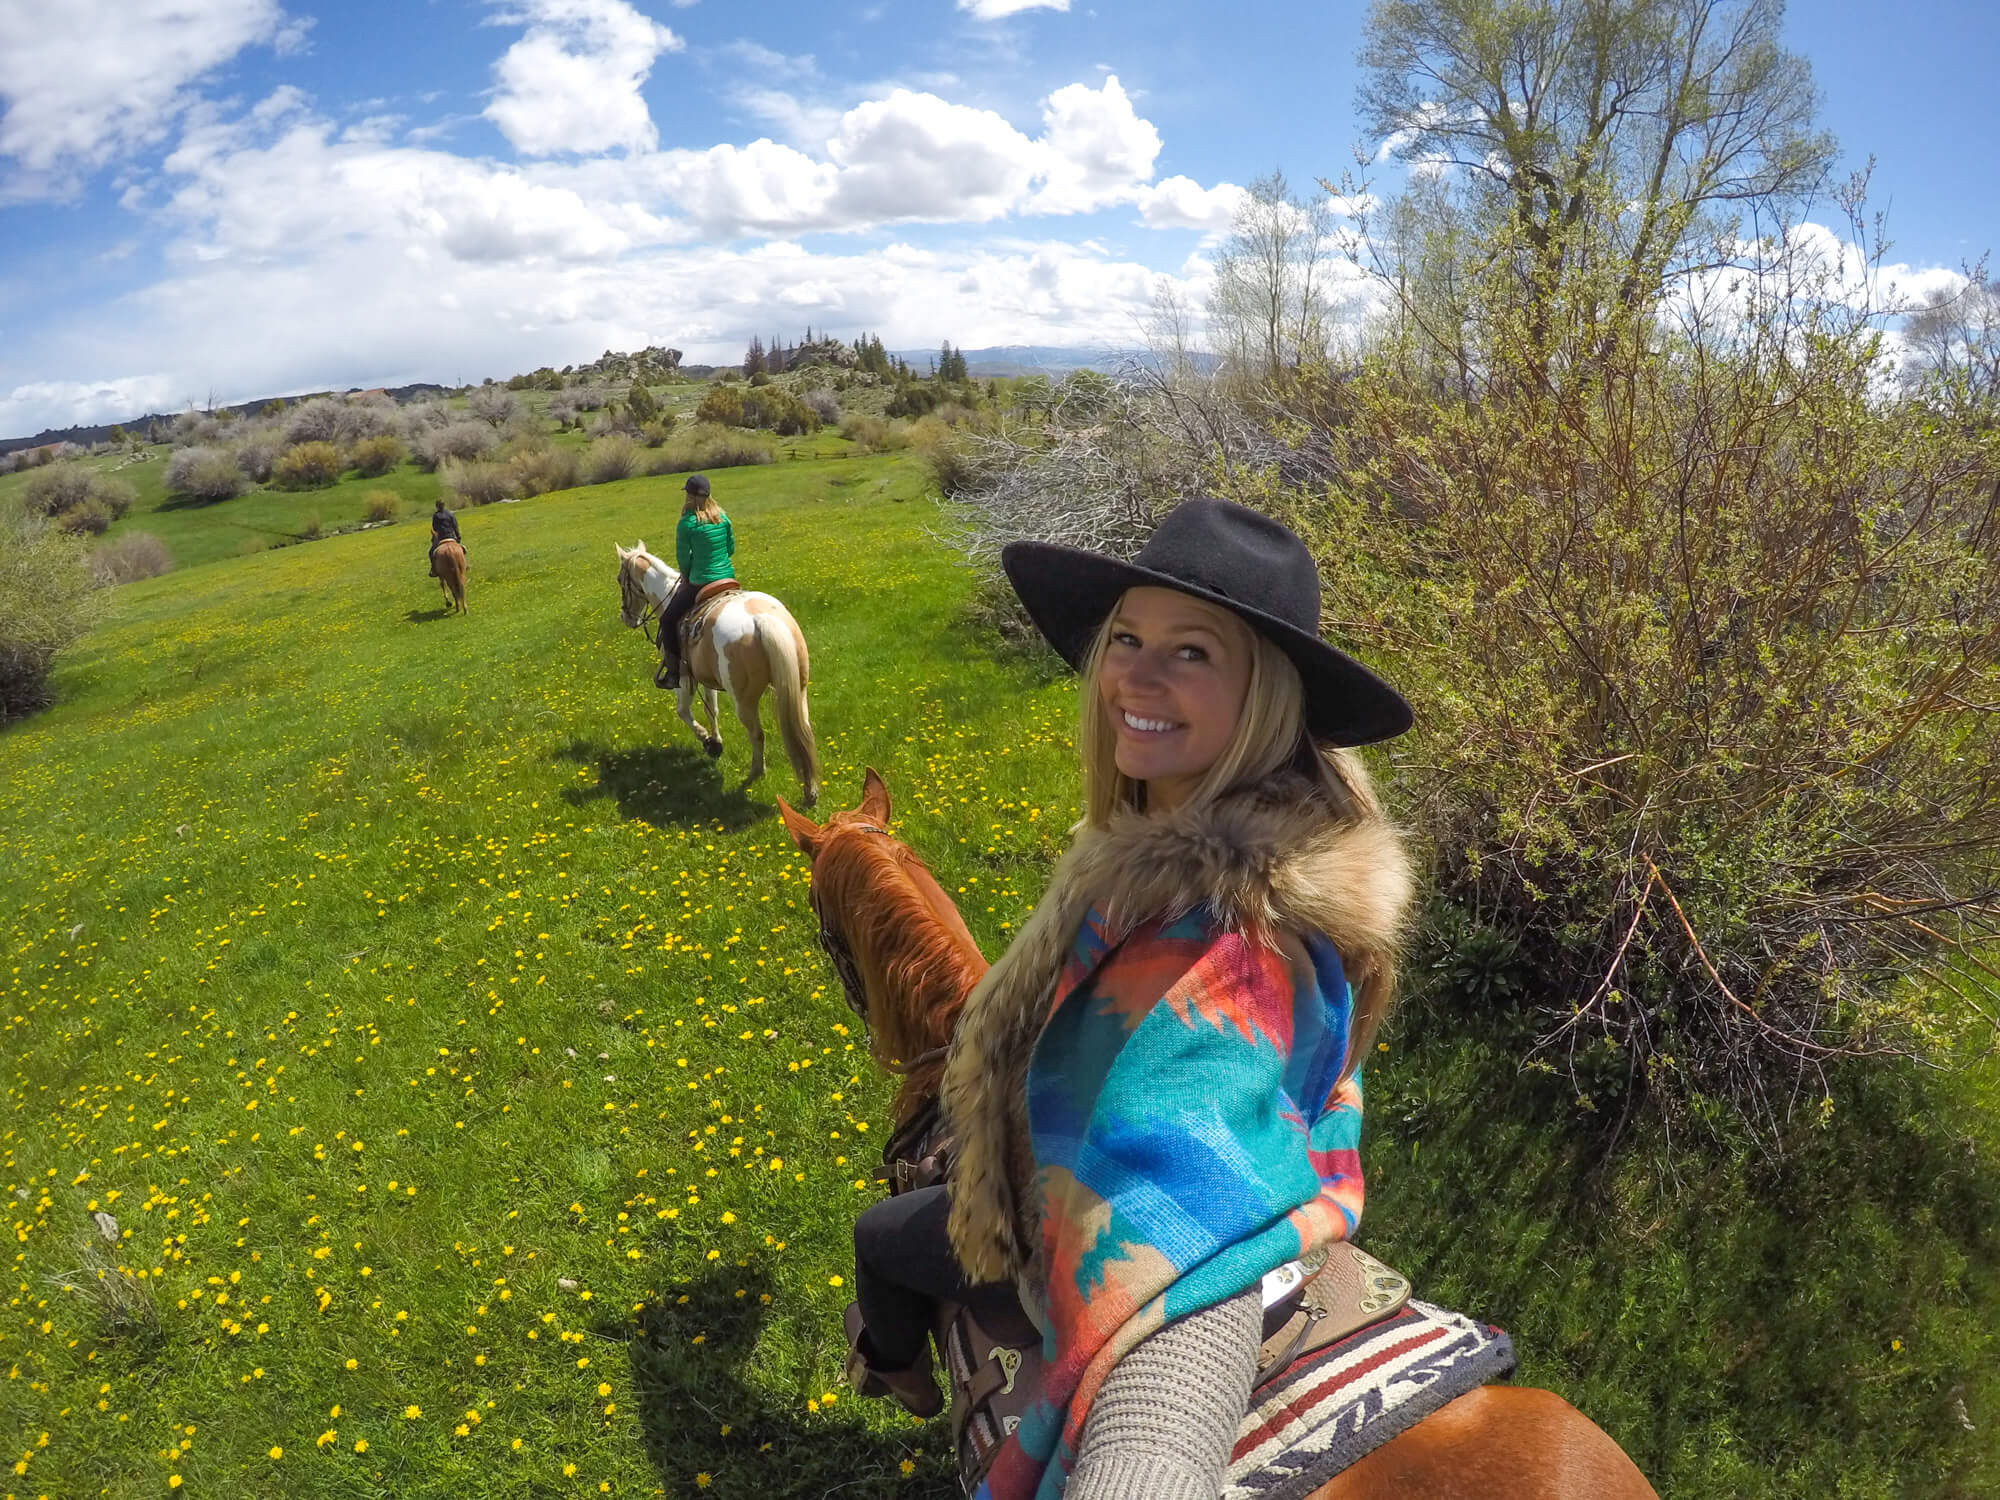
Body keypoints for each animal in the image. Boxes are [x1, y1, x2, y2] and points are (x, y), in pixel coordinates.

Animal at [616, 544, 820, 812]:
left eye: (620, 580)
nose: (626, 618)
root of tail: (762, 618)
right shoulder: (706, 678)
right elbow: (711, 709)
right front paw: (716, 740)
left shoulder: (684, 678)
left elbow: (683, 711)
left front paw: (708, 742)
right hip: (799, 689)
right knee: (803, 731)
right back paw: (810, 790)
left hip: (744, 701)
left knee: (757, 734)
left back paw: (755, 774)